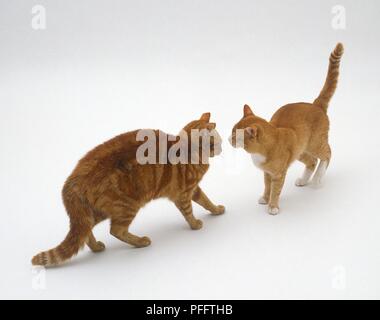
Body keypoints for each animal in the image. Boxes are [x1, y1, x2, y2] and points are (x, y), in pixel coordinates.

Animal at [32, 114, 224, 266]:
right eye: (217, 141)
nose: (222, 148)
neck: (186, 150)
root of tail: (72, 181)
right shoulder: (183, 194)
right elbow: (189, 211)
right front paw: (195, 224)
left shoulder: (193, 190)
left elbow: (206, 201)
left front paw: (216, 210)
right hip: (126, 206)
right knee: (116, 230)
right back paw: (141, 242)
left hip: (95, 213)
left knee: (86, 232)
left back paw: (97, 247)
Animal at [229, 43, 344, 215]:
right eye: (232, 131)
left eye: (236, 136)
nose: (228, 139)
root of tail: (316, 105)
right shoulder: (267, 173)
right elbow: (267, 187)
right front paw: (265, 198)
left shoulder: (278, 174)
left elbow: (276, 190)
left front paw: (273, 206)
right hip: (300, 151)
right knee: (312, 161)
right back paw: (303, 180)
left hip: (315, 144)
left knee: (327, 154)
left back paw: (317, 179)